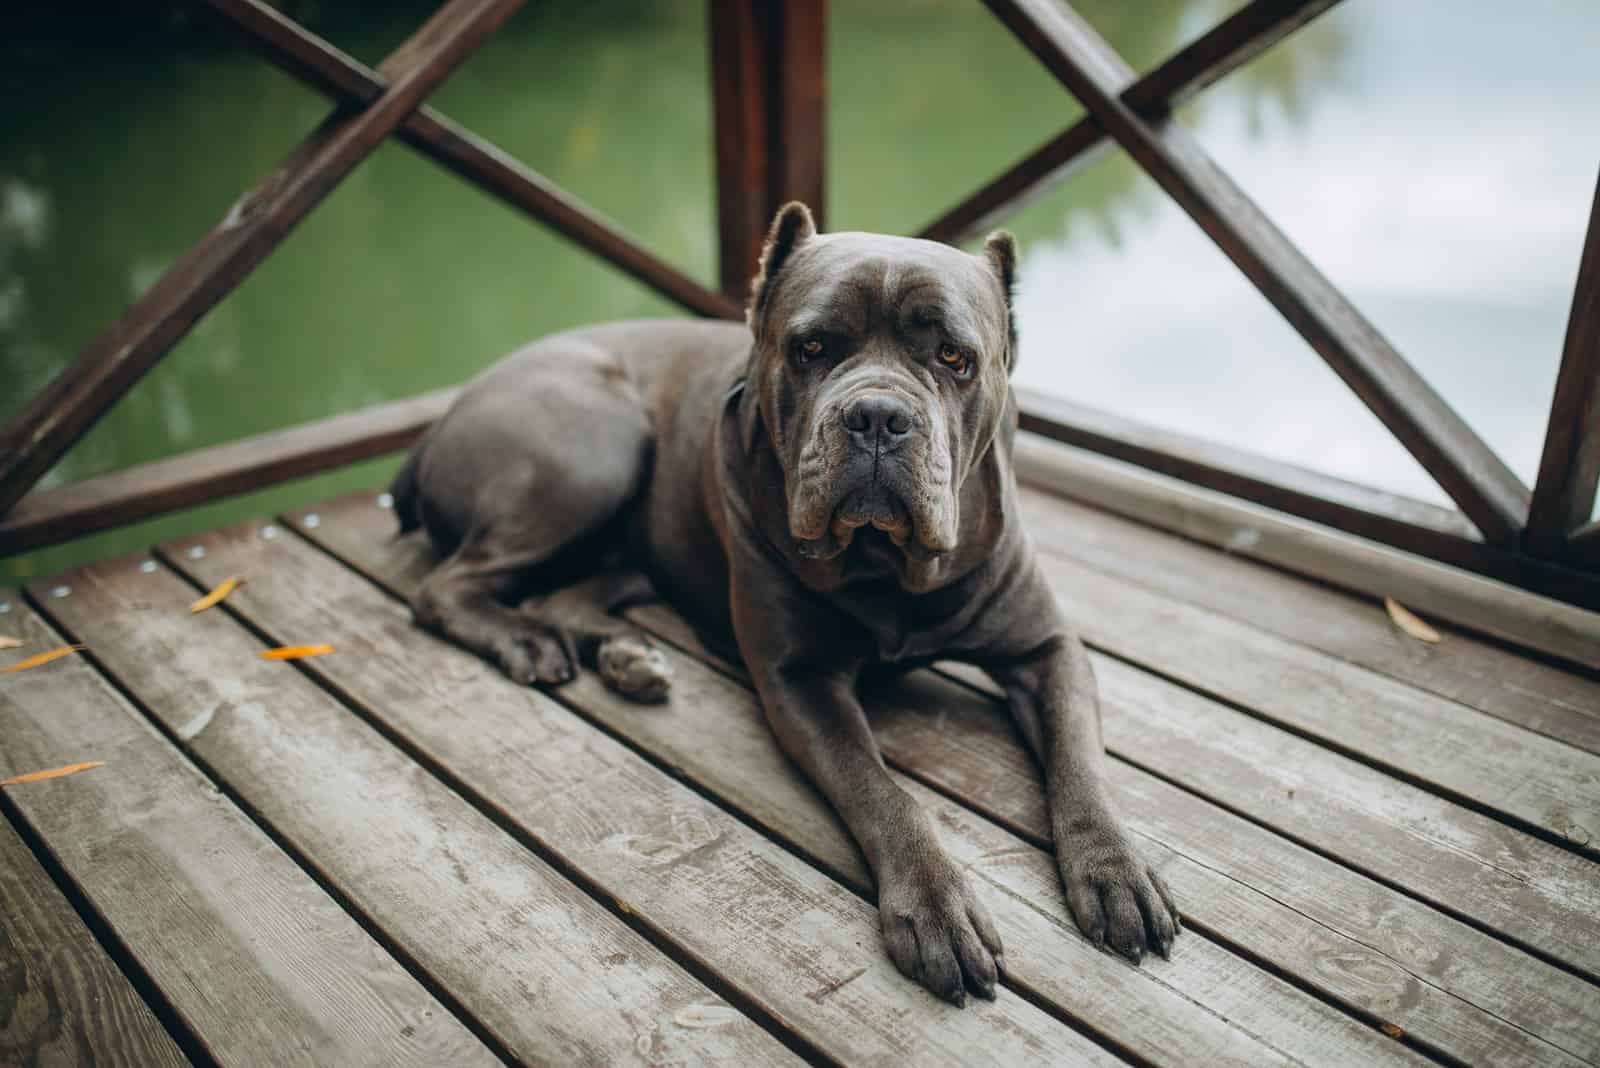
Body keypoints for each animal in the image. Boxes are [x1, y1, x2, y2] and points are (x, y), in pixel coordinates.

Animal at [393, 204, 1184, 1004]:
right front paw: (935, 904)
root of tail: (448, 413)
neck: (885, 568)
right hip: (593, 445)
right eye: (810, 348)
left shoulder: (1046, 649)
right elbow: (881, 791)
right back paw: (527, 641)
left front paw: (1115, 869)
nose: (877, 415)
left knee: (570, 592)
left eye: (955, 358)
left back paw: (627, 659)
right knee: (445, 587)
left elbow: (1081, 763)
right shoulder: (801, 682)